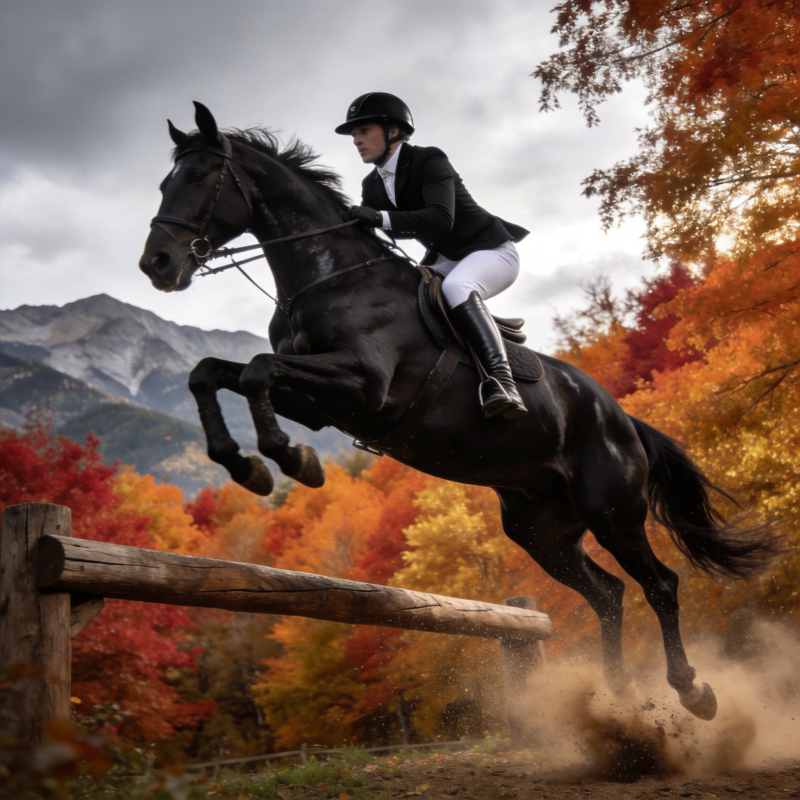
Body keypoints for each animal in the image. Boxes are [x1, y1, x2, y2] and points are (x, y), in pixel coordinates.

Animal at [139, 102, 775, 722]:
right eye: (164, 182)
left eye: (199, 178)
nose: (157, 265)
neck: (327, 276)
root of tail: (623, 420)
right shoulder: (320, 402)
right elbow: (215, 372)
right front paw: (247, 464)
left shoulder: (363, 386)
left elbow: (256, 369)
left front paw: (288, 461)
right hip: (541, 529)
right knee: (607, 594)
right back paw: (620, 700)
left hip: (611, 511)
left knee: (659, 584)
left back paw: (693, 692)